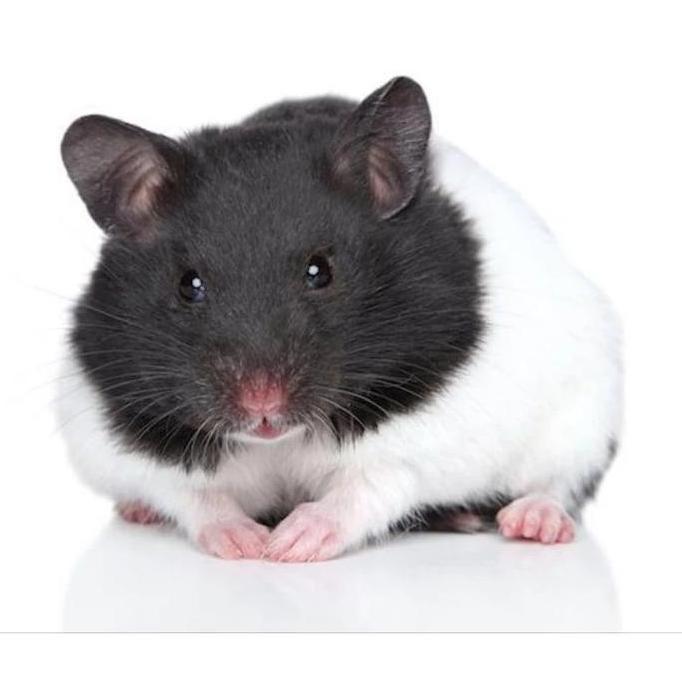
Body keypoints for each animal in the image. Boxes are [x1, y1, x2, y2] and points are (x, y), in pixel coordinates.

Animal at [57, 76, 622, 561]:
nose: (262, 405)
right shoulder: (122, 433)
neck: (279, 442)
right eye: (188, 284)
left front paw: (289, 545)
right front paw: (247, 545)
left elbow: (368, 487)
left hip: (585, 413)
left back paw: (532, 523)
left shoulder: (429, 436)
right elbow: (193, 496)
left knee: (561, 482)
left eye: (320, 271)